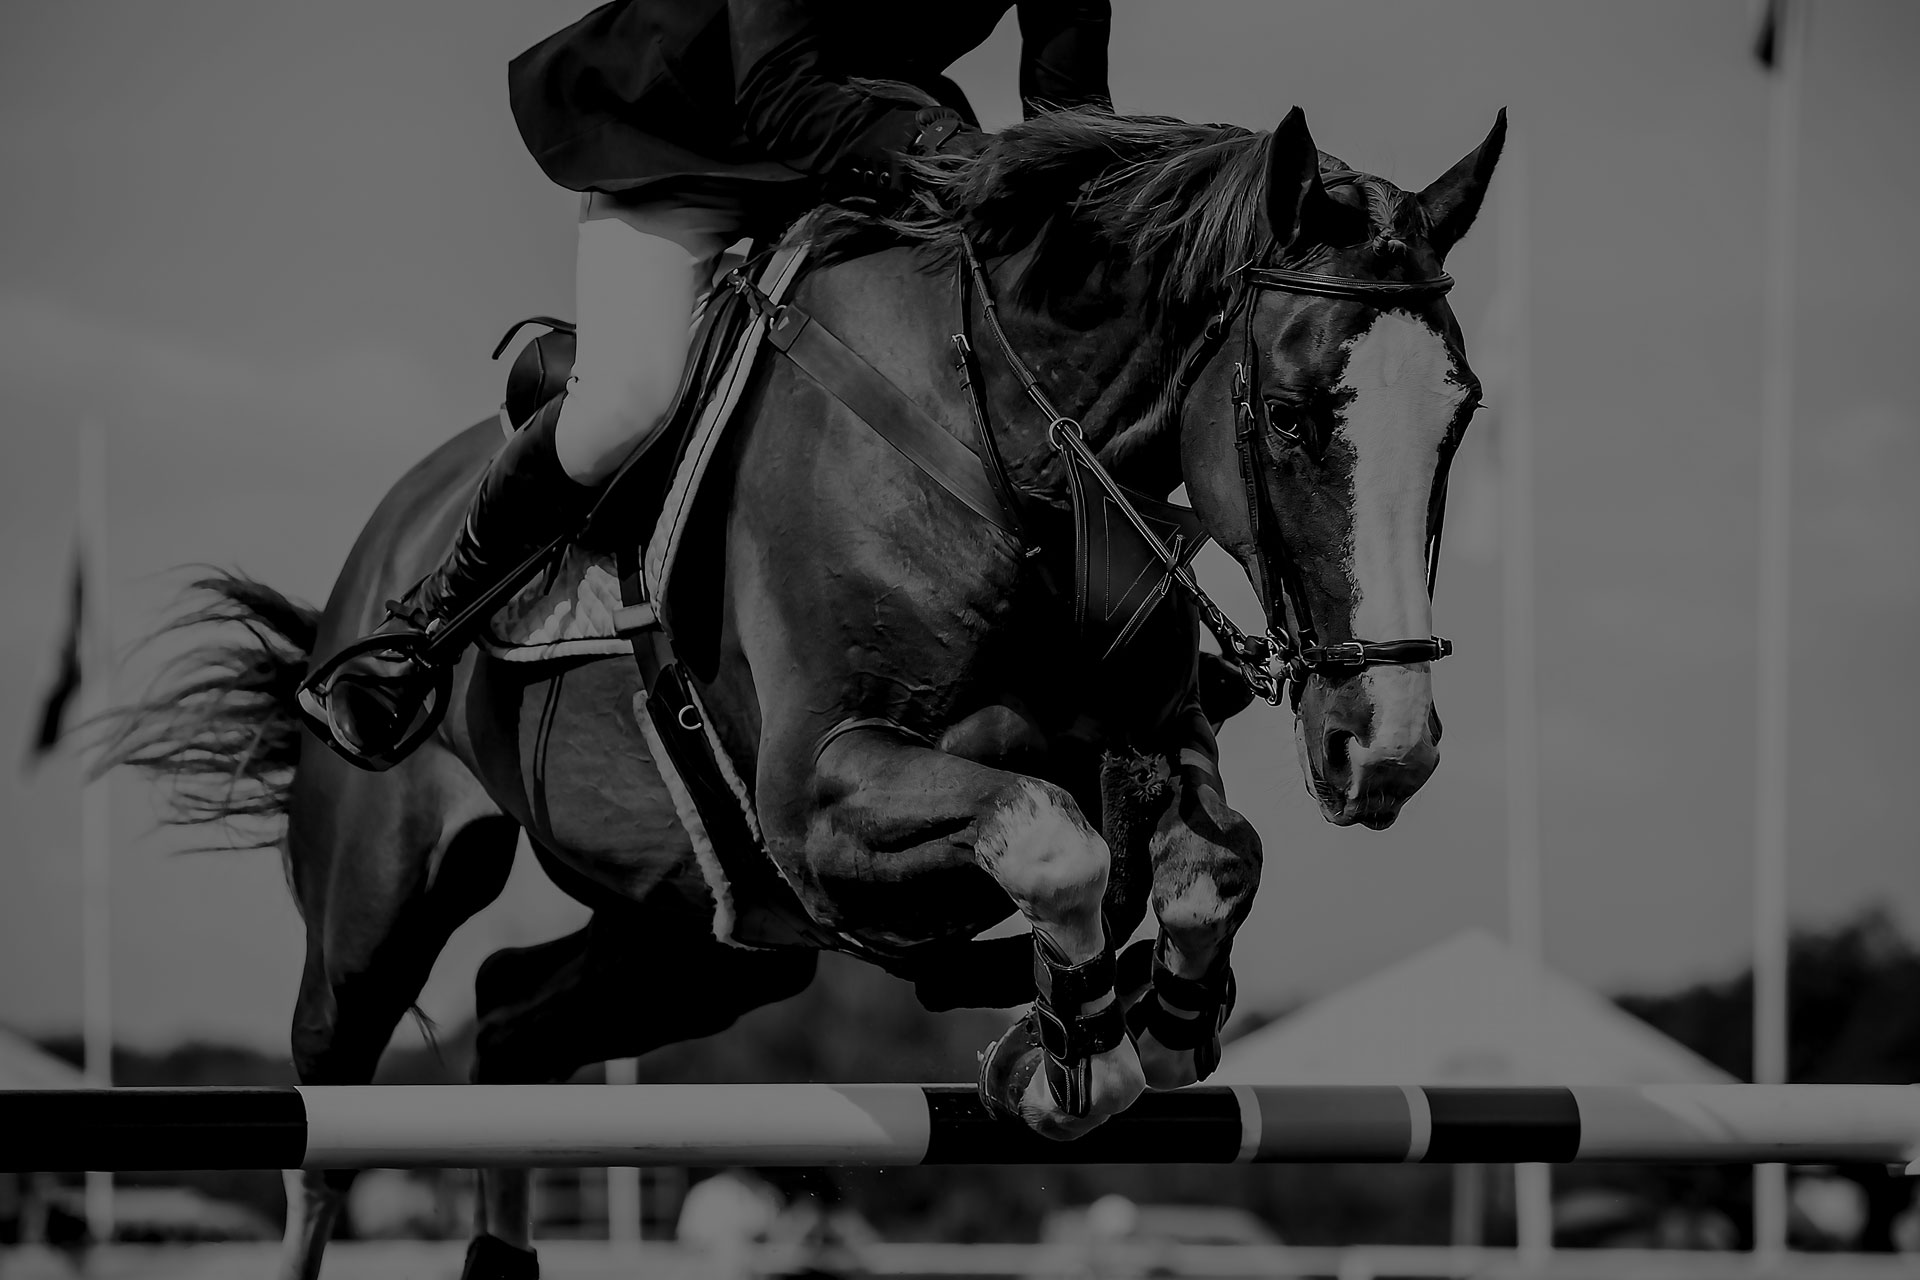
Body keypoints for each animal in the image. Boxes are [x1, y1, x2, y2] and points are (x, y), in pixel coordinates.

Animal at [101, 105, 1501, 1280]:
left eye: (1461, 416)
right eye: (1290, 413)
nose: (1388, 746)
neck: (1007, 449)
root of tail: (385, 541)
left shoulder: (1150, 744)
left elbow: (1211, 857)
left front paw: (1152, 1015)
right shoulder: (822, 796)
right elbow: (1053, 835)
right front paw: (1071, 1056)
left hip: (702, 936)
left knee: (513, 1021)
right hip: (378, 903)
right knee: (326, 1118)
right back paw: (384, 681)